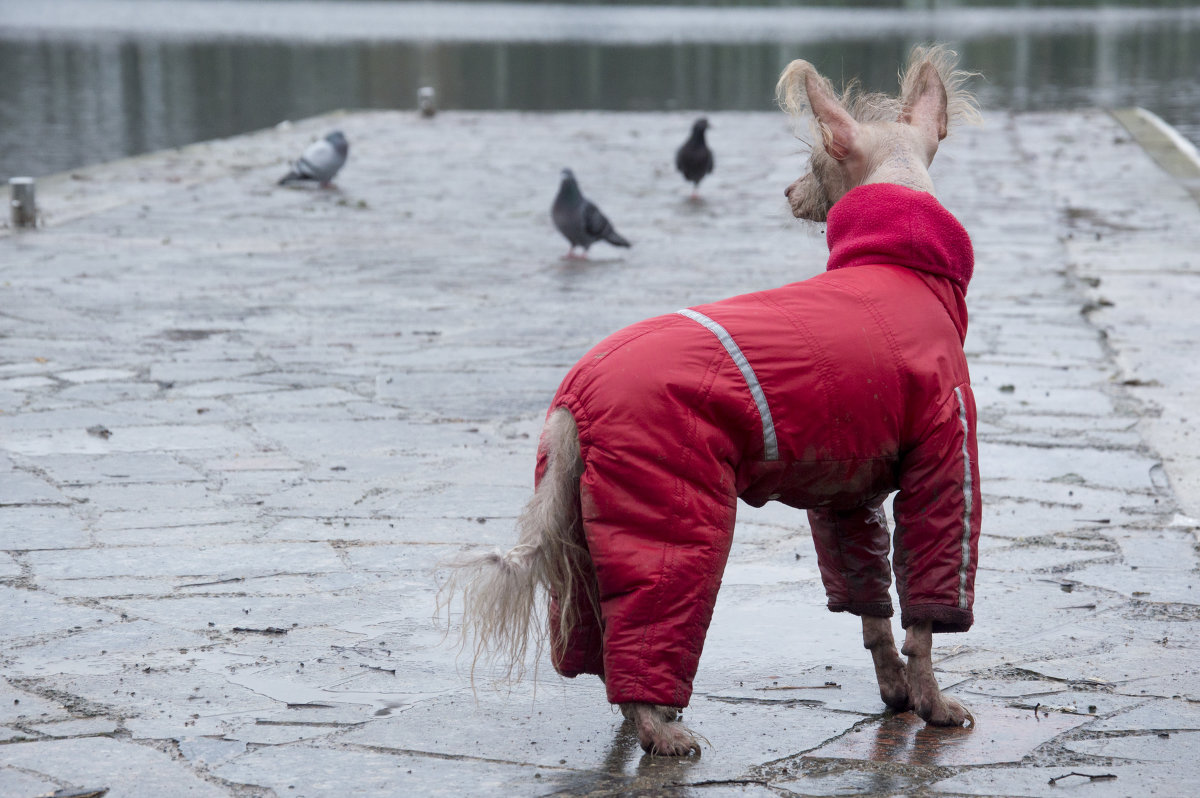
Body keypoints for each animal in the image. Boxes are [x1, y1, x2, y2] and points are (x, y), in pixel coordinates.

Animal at [446, 46, 979, 758]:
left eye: (812, 161)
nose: (787, 192)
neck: (896, 263)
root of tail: (574, 394)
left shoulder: (848, 492)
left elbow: (871, 609)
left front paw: (896, 691)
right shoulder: (943, 460)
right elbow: (924, 616)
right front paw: (933, 704)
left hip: (585, 517)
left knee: (605, 639)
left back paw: (650, 713)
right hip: (677, 507)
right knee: (647, 631)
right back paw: (662, 730)